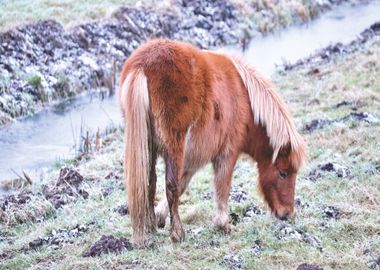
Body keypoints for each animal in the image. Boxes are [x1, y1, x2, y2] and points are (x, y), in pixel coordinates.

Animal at [119, 39, 306, 248]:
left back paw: (151, 225)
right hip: (174, 148)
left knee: (149, 183)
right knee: (170, 186)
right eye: (283, 173)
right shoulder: (227, 153)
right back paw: (177, 233)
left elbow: (183, 183)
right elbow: (221, 185)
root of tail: (142, 65)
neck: (246, 100)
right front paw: (223, 224)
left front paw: (160, 217)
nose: (286, 213)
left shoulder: (193, 158)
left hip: (148, 149)